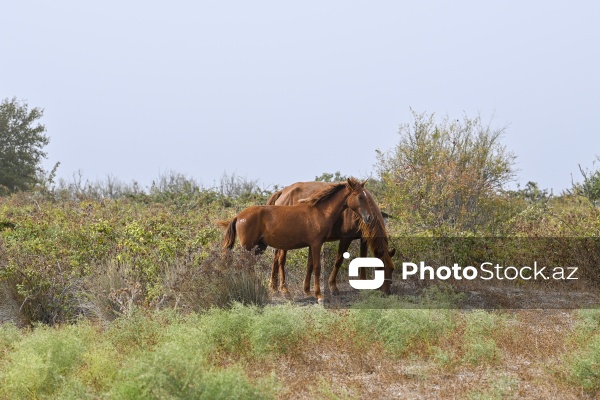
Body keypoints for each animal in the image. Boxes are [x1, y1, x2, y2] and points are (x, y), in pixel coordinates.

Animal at [218, 177, 372, 302]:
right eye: (360, 197)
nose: (369, 217)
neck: (320, 212)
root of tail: (238, 216)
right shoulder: (316, 244)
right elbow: (317, 267)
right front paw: (319, 296)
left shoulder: (312, 245)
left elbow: (310, 265)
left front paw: (310, 293)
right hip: (248, 247)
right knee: (243, 266)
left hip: (259, 247)